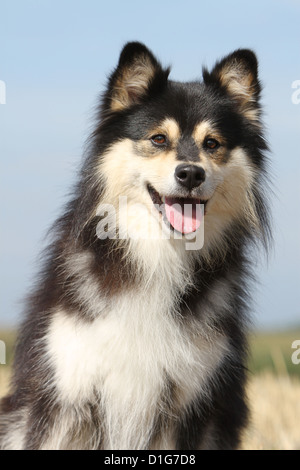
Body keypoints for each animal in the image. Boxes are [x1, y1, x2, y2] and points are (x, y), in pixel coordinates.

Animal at [0, 42, 270, 450]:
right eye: (158, 139)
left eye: (212, 144)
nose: (191, 173)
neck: (158, 254)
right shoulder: (66, 394)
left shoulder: (191, 404)